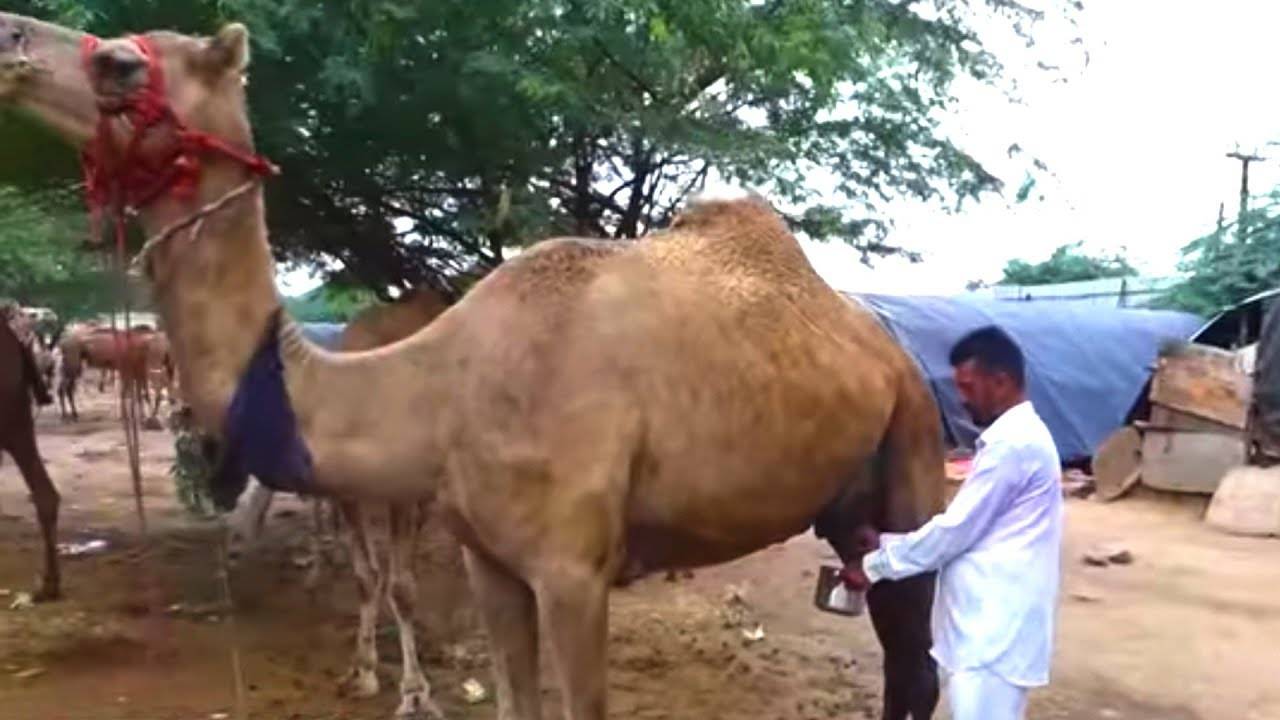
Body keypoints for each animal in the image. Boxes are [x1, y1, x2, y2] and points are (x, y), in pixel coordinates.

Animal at [0, 16, 946, 720]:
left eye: (121, 63)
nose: (11, 37)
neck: (436, 389)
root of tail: (888, 347)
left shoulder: (572, 571)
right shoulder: (489, 561)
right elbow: (513, 694)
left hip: (914, 441)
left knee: (918, 651)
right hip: (846, 496)